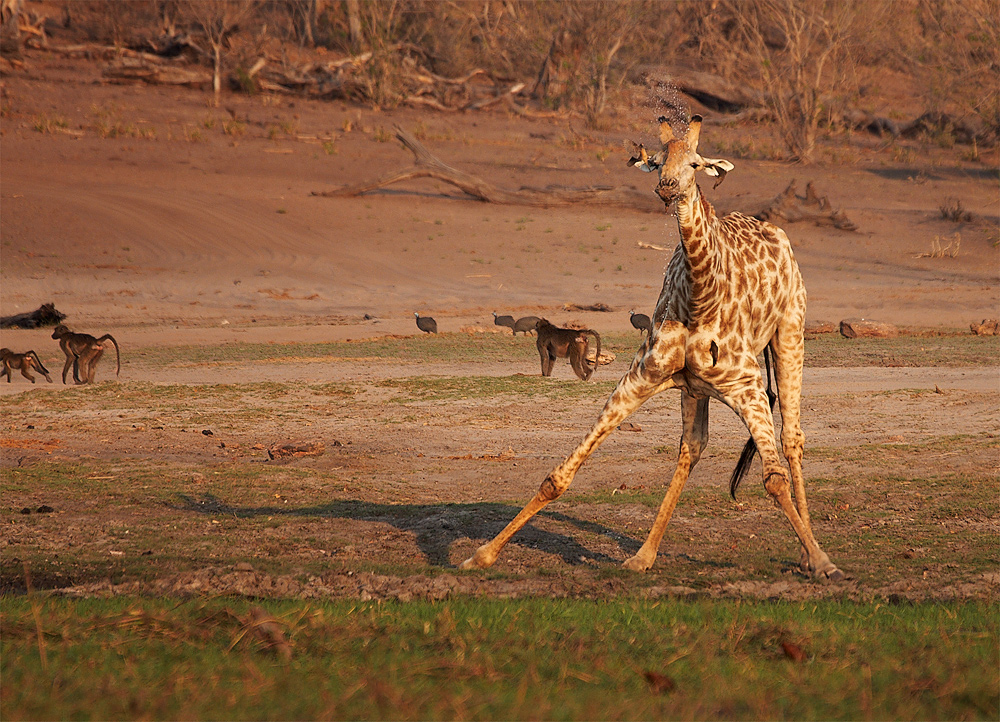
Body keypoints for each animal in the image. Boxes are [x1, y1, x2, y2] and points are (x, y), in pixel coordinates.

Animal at [460, 115, 844, 584]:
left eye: (696, 163)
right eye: (658, 161)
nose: (667, 186)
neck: (699, 298)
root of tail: (777, 232)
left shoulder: (748, 386)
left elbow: (774, 480)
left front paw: (823, 561)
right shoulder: (640, 377)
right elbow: (559, 476)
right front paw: (481, 554)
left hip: (790, 332)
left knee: (792, 438)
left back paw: (808, 554)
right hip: (695, 389)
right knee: (692, 446)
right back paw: (643, 555)